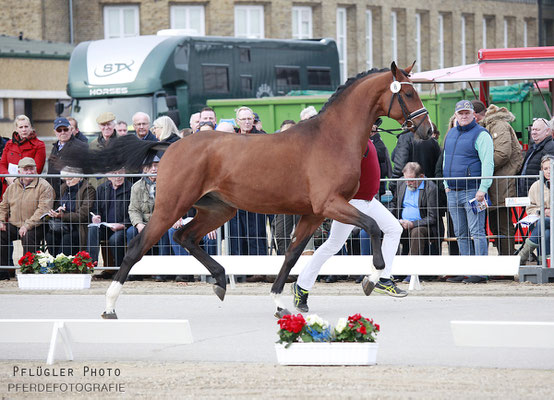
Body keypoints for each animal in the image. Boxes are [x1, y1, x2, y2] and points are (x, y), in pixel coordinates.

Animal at [63, 62, 432, 318]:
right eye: (408, 93)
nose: (428, 130)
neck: (331, 138)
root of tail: (171, 144)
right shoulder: (330, 204)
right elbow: (372, 228)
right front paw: (373, 278)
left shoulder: (314, 213)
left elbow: (292, 253)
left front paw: (281, 302)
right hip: (171, 206)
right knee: (137, 247)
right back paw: (110, 305)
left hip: (218, 209)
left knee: (184, 236)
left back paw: (220, 280)